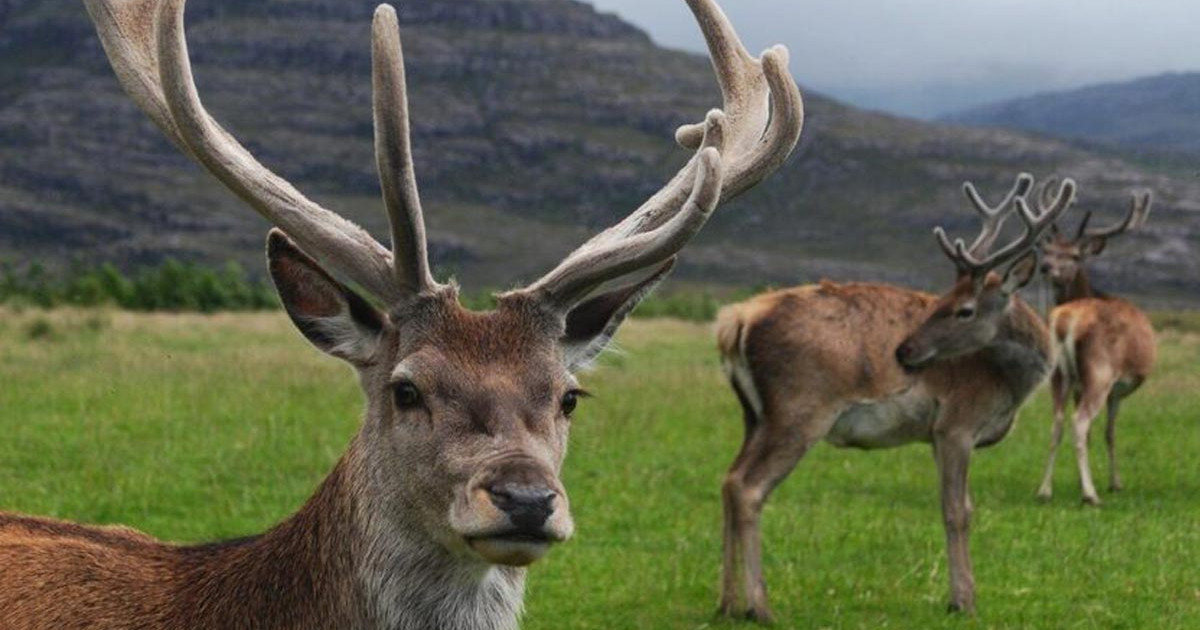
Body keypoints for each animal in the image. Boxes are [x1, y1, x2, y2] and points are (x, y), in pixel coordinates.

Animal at [710, 172, 1070, 619]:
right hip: (799, 410)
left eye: (963, 308)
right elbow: (956, 511)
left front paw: (962, 595)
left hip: (753, 415)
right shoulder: (957, 423)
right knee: (749, 487)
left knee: (728, 479)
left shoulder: (936, 435)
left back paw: (727, 603)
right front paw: (963, 601)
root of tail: (734, 322)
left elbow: (963, 505)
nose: (903, 351)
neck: (1007, 385)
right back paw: (760, 607)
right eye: (942, 300)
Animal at [1032, 178, 1152, 504]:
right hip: (1100, 371)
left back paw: (1044, 490)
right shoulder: (1116, 390)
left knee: (1057, 423)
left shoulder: (1081, 386)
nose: (1045, 267)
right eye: (1048, 251)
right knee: (1079, 421)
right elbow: (1109, 433)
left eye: (1074, 255)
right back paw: (1090, 494)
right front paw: (1114, 483)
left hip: (1058, 375)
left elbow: (1095, 435)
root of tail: (1066, 321)